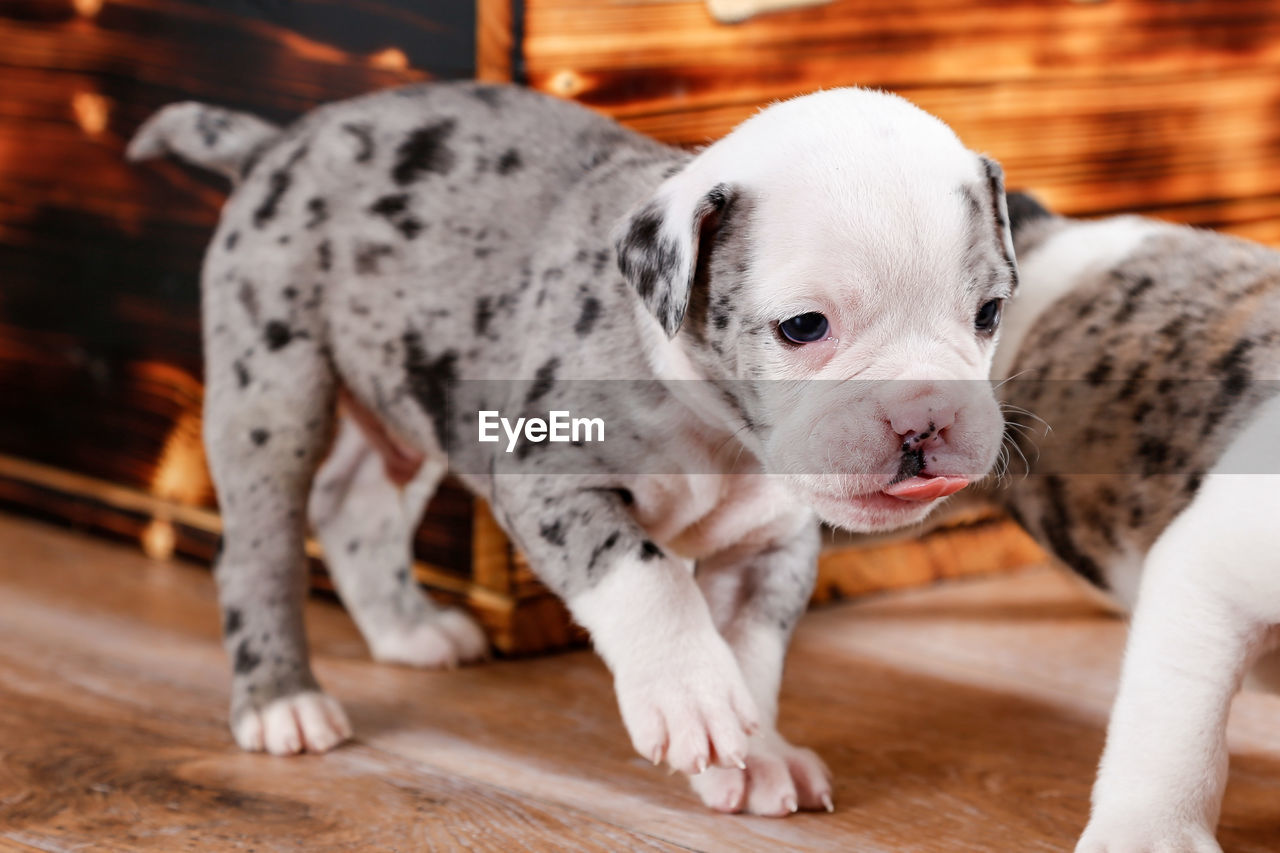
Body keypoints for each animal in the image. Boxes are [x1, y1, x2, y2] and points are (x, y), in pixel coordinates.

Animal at [124, 83, 1013, 814]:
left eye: (990, 313)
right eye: (803, 326)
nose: (924, 416)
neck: (717, 431)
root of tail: (275, 144)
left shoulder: (769, 545)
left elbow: (751, 651)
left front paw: (754, 752)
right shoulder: (550, 479)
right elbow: (647, 576)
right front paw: (690, 697)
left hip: (409, 394)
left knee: (357, 508)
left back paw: (409, 632)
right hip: (274, 393)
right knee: (259, 553)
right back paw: (283, 702)